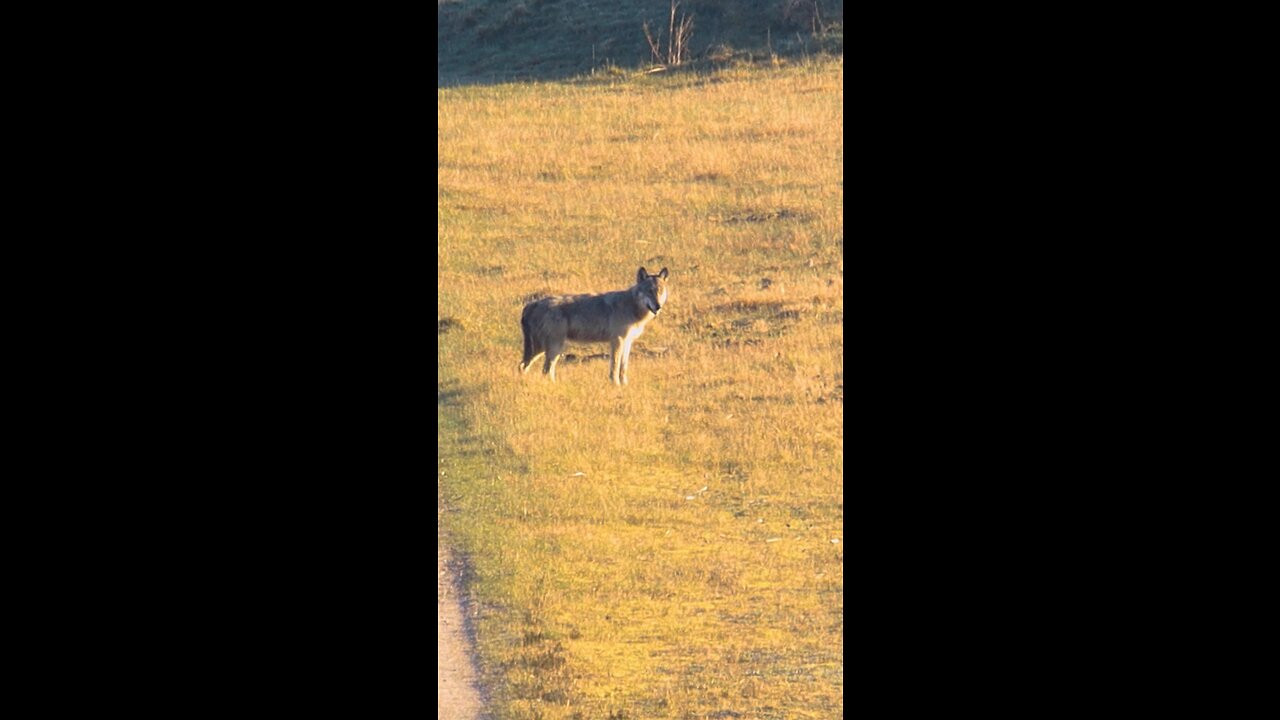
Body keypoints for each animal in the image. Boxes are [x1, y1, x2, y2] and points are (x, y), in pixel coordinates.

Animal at [519, 266, 670, 384]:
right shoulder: (617, 341)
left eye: (660, 291)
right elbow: (614, 367)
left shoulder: (627, 342)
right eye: (649, 291)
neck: (631, 306)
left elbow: (623, 367)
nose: (658, 306)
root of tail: (532, 304)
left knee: (523, 366)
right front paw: (615, 385)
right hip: (553, 349)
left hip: (542, 349)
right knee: (545, 370)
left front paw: (624, 385)